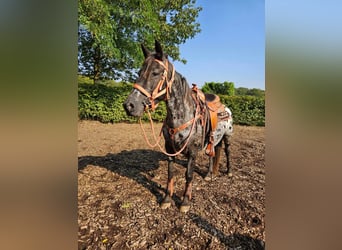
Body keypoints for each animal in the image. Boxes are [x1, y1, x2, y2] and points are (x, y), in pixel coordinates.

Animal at [123, 41, 232, 213]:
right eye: (139, 72)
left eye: (155, 73)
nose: (129, 105)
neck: (182, 115)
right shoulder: (169, 148)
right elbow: (170, 173)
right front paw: (167, 199)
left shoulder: (193, 151)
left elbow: (188, 175)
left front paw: (185, 202)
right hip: (213, 139)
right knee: (212, 154)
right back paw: (209, 174)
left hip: (227, 136)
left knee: (227, 151)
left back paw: (229, 172)